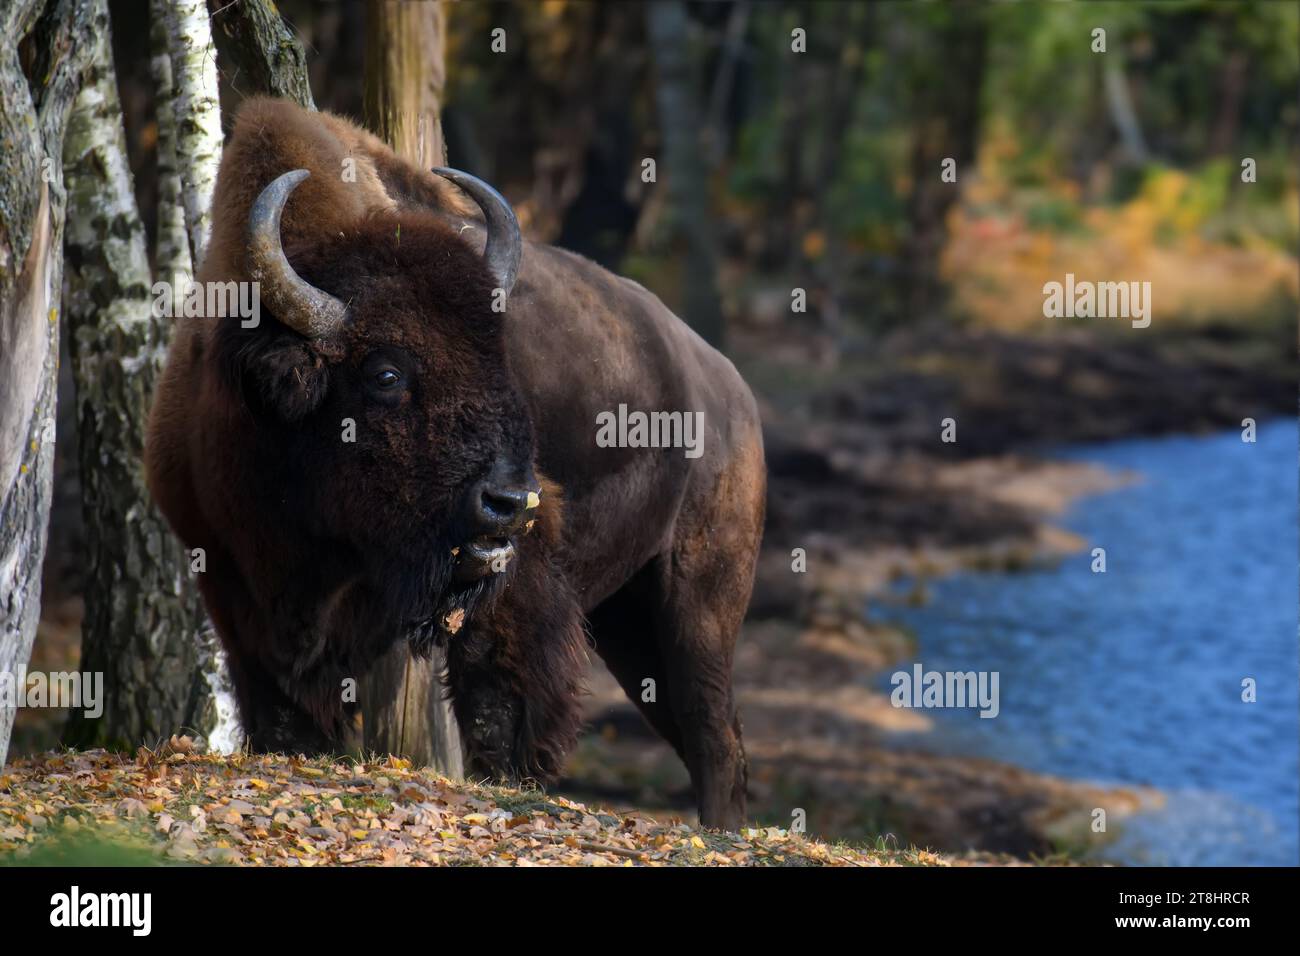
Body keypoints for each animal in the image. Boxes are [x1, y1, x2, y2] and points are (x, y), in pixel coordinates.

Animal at [147, 98, 764, 832]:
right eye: (384, 374)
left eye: (499, 356)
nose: (509, 503)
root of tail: (729, 385)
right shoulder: (230, 578)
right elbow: (280, 709)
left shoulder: (510, 579)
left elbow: (497, 697)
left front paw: (510, 781)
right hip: (629, 622)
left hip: (698, 600)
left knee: (713, 731)